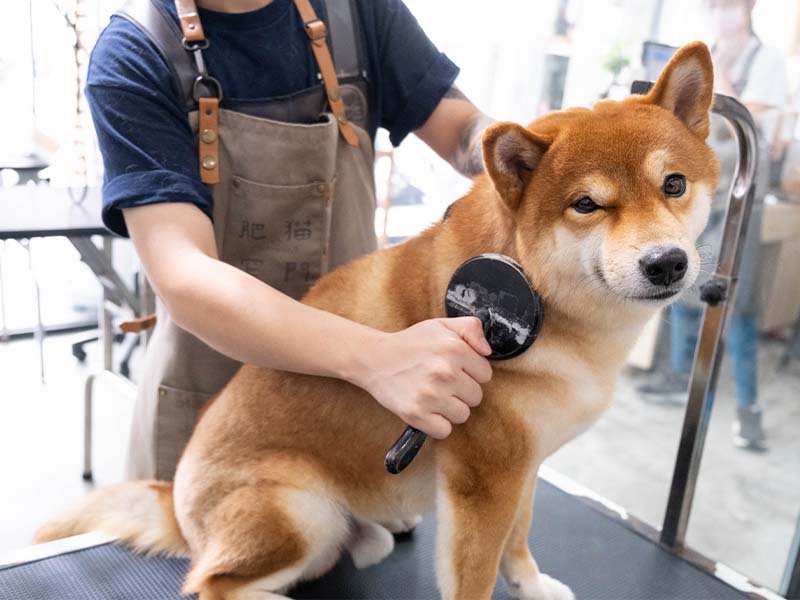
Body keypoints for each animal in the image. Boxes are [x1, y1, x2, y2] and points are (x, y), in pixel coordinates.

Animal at [36, 42, 720, 600]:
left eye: (674, 184)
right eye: (587, 205)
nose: (667, 262)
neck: (554, 311)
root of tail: (179, 509)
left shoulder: (523, 469)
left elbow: (518, 542)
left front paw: (531, 585)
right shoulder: (484, 481)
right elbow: (476, 574)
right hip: (302, 516)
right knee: (210, 584)